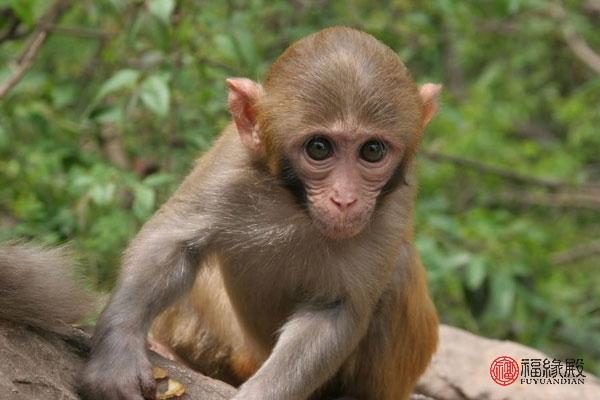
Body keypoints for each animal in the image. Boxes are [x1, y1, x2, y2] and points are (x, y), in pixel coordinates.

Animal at [79, 26, 440, 398]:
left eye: (372, 151)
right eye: (319, 148)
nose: (345, 199)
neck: (297, 206)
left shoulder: (394, 207)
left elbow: (335, 308)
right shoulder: (232, 161)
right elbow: (173, 242)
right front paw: (117, 356)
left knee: (398, 269)